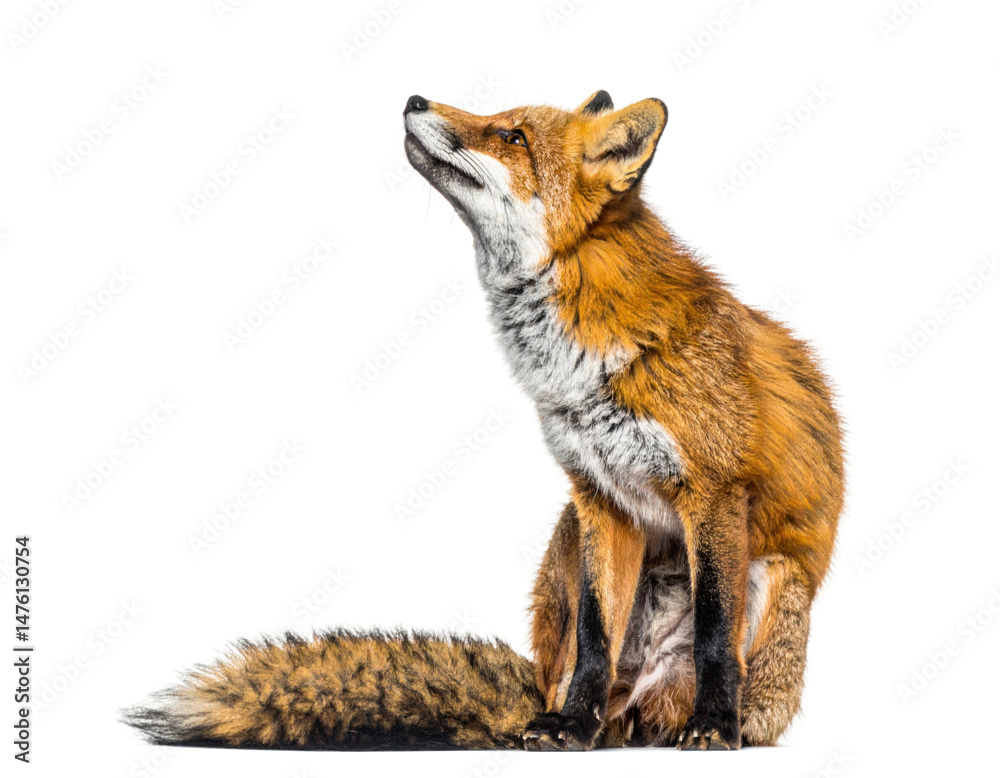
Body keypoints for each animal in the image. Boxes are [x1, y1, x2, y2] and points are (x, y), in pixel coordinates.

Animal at [124, 91, 843, 751]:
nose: (414, 99)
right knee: (578, 678)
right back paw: (573, 722)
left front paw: (715, 725)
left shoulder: (713, 492)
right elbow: (595, 637)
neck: (575, 356)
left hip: (775, 576)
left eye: (512, 136)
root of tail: (642, 708)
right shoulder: (600, 499)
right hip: (564, 545)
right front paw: (569, 727)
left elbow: (716, 632)